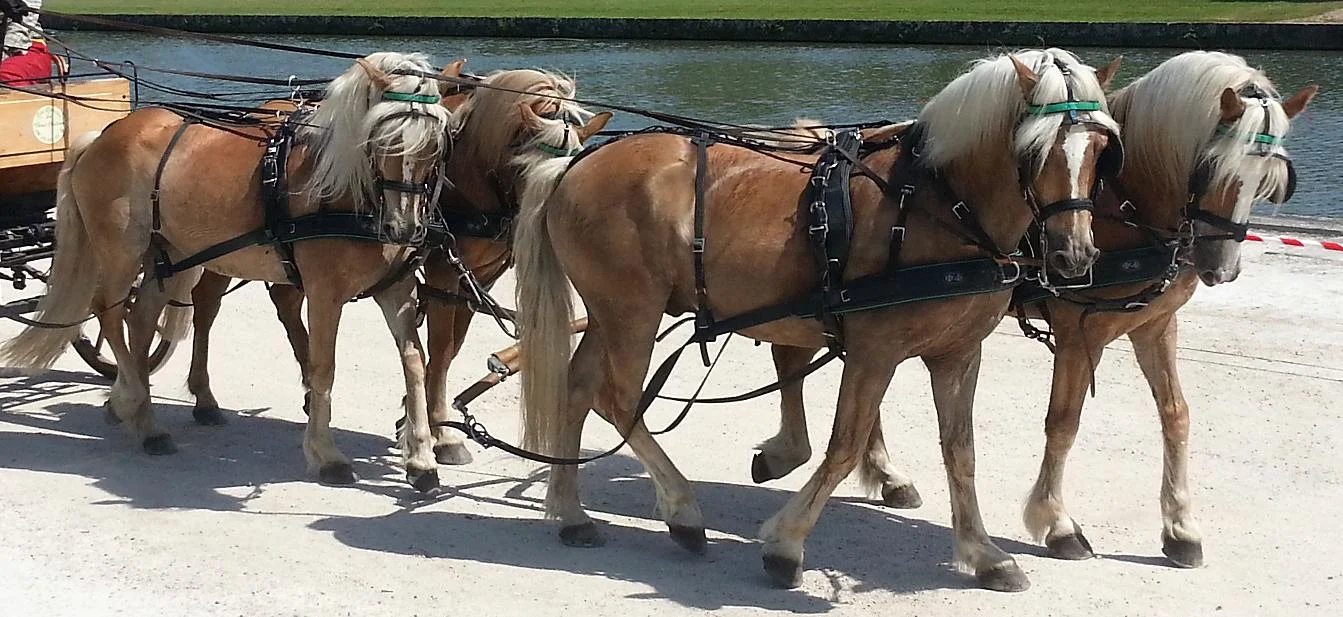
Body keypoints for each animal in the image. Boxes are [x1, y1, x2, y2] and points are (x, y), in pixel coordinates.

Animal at [0, 52, 454, 491]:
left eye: (437, 144)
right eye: (380, 139)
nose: (403, 228)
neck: (347, 189)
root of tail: (104, 134)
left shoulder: (396, 289)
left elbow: (415, 362)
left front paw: (421, 458)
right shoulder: (324, 293)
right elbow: (323, 367)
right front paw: (326, 455)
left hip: (172, 254)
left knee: (140, 319)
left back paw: (143, 415)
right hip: (122, 252)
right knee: (110, 313)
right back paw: (133, 401)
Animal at [181, 67, 610, 468]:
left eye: (568, 171)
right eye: (526, 165)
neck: (467, 164)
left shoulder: (478, 276)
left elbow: (450, 345)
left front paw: (416, 416)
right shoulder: (443, 272)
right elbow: (441, 347)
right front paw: (439, 431)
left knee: (284, 303)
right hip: (221, 249)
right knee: (207, 305)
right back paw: (205, 395)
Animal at [513, 48, 1120, 591]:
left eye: (1100, 149)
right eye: (1034, 150)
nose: (1075, 255)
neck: (935, 203)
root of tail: (577, 163)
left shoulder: (957, 352)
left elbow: (960, 453)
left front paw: (985, 554)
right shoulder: (875, 351)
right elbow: (845, 445)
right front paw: (785, 545)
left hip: (608, 314)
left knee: (578, 387)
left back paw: (571, 513)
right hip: (632, 313)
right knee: (617, 399)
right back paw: (682, 510)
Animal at [751, 50, 1317, 569]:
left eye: (1270, 175)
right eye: (1210, 164)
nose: (1221, 266)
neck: (1120, 202)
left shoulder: (1156, 324)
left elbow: (1175, 415)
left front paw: (1180, 527)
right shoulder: (1078, 333)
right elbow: (1063, 422)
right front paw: (1058, 523)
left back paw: (885, 474)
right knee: (795, 358)